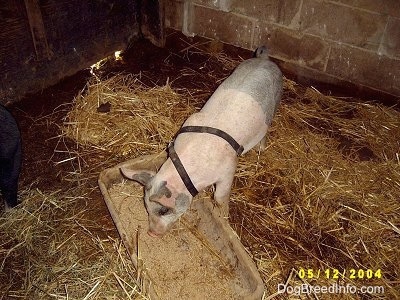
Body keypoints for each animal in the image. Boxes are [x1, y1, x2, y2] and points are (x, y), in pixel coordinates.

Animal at [121, 46, 282, 237]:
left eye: (163, 210)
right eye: (146, 207)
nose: (151, 233)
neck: (187, 172)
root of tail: (265, 59)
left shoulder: (229, 168)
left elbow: (220, 197)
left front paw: (223, 215)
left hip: (276, 102)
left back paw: (260, 149)